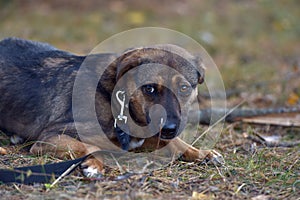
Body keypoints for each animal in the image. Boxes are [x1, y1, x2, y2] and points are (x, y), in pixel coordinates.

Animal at [0, 38, 220, 177]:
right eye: (149, 88)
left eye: (184, 88)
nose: (169, 129)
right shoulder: (50, 137)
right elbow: (91, 146)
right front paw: (94, 164)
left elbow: (175, 143)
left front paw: (202, 153)